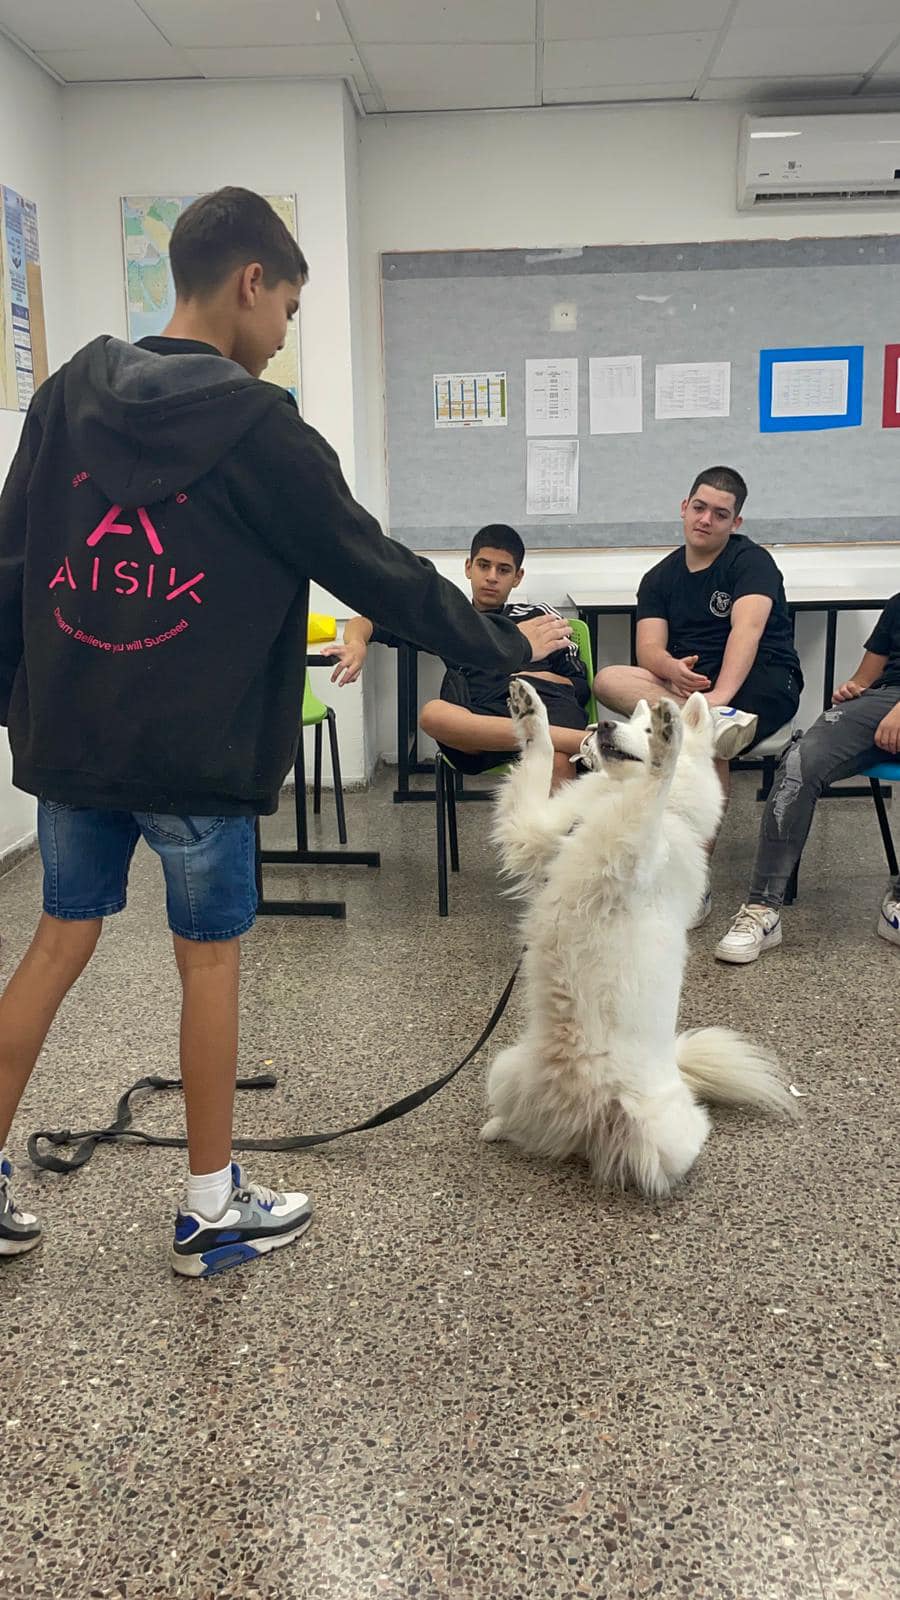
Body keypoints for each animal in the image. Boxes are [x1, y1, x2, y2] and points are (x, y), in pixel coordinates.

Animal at [481, 680, 797, 1198]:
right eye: (627, 720)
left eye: (644, 727)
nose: (602, 726)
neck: (611, 796)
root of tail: (585, 1121)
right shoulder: (533, 834)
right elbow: (537, 761)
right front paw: (529, 711)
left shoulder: (633, 850)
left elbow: (653, 786)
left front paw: (668, 745)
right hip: (503, 1065)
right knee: (524, 1122)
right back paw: (498, 1127)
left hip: (658, 1127)